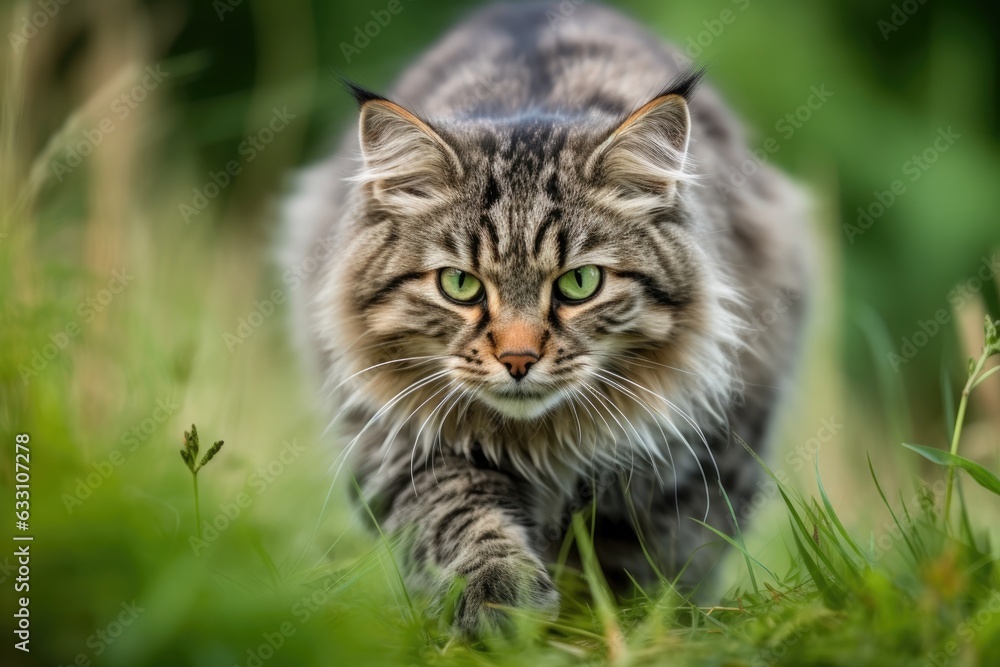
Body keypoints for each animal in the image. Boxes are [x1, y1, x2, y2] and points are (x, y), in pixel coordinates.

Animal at [278, 0, 808, 636]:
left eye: (580, 284)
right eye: (460, 285)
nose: (518, 358)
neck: (541, 443)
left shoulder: (687, 457)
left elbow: (633, 560)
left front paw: (610, 626)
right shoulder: (404, 442)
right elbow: (463, 518)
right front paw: (500, 604)